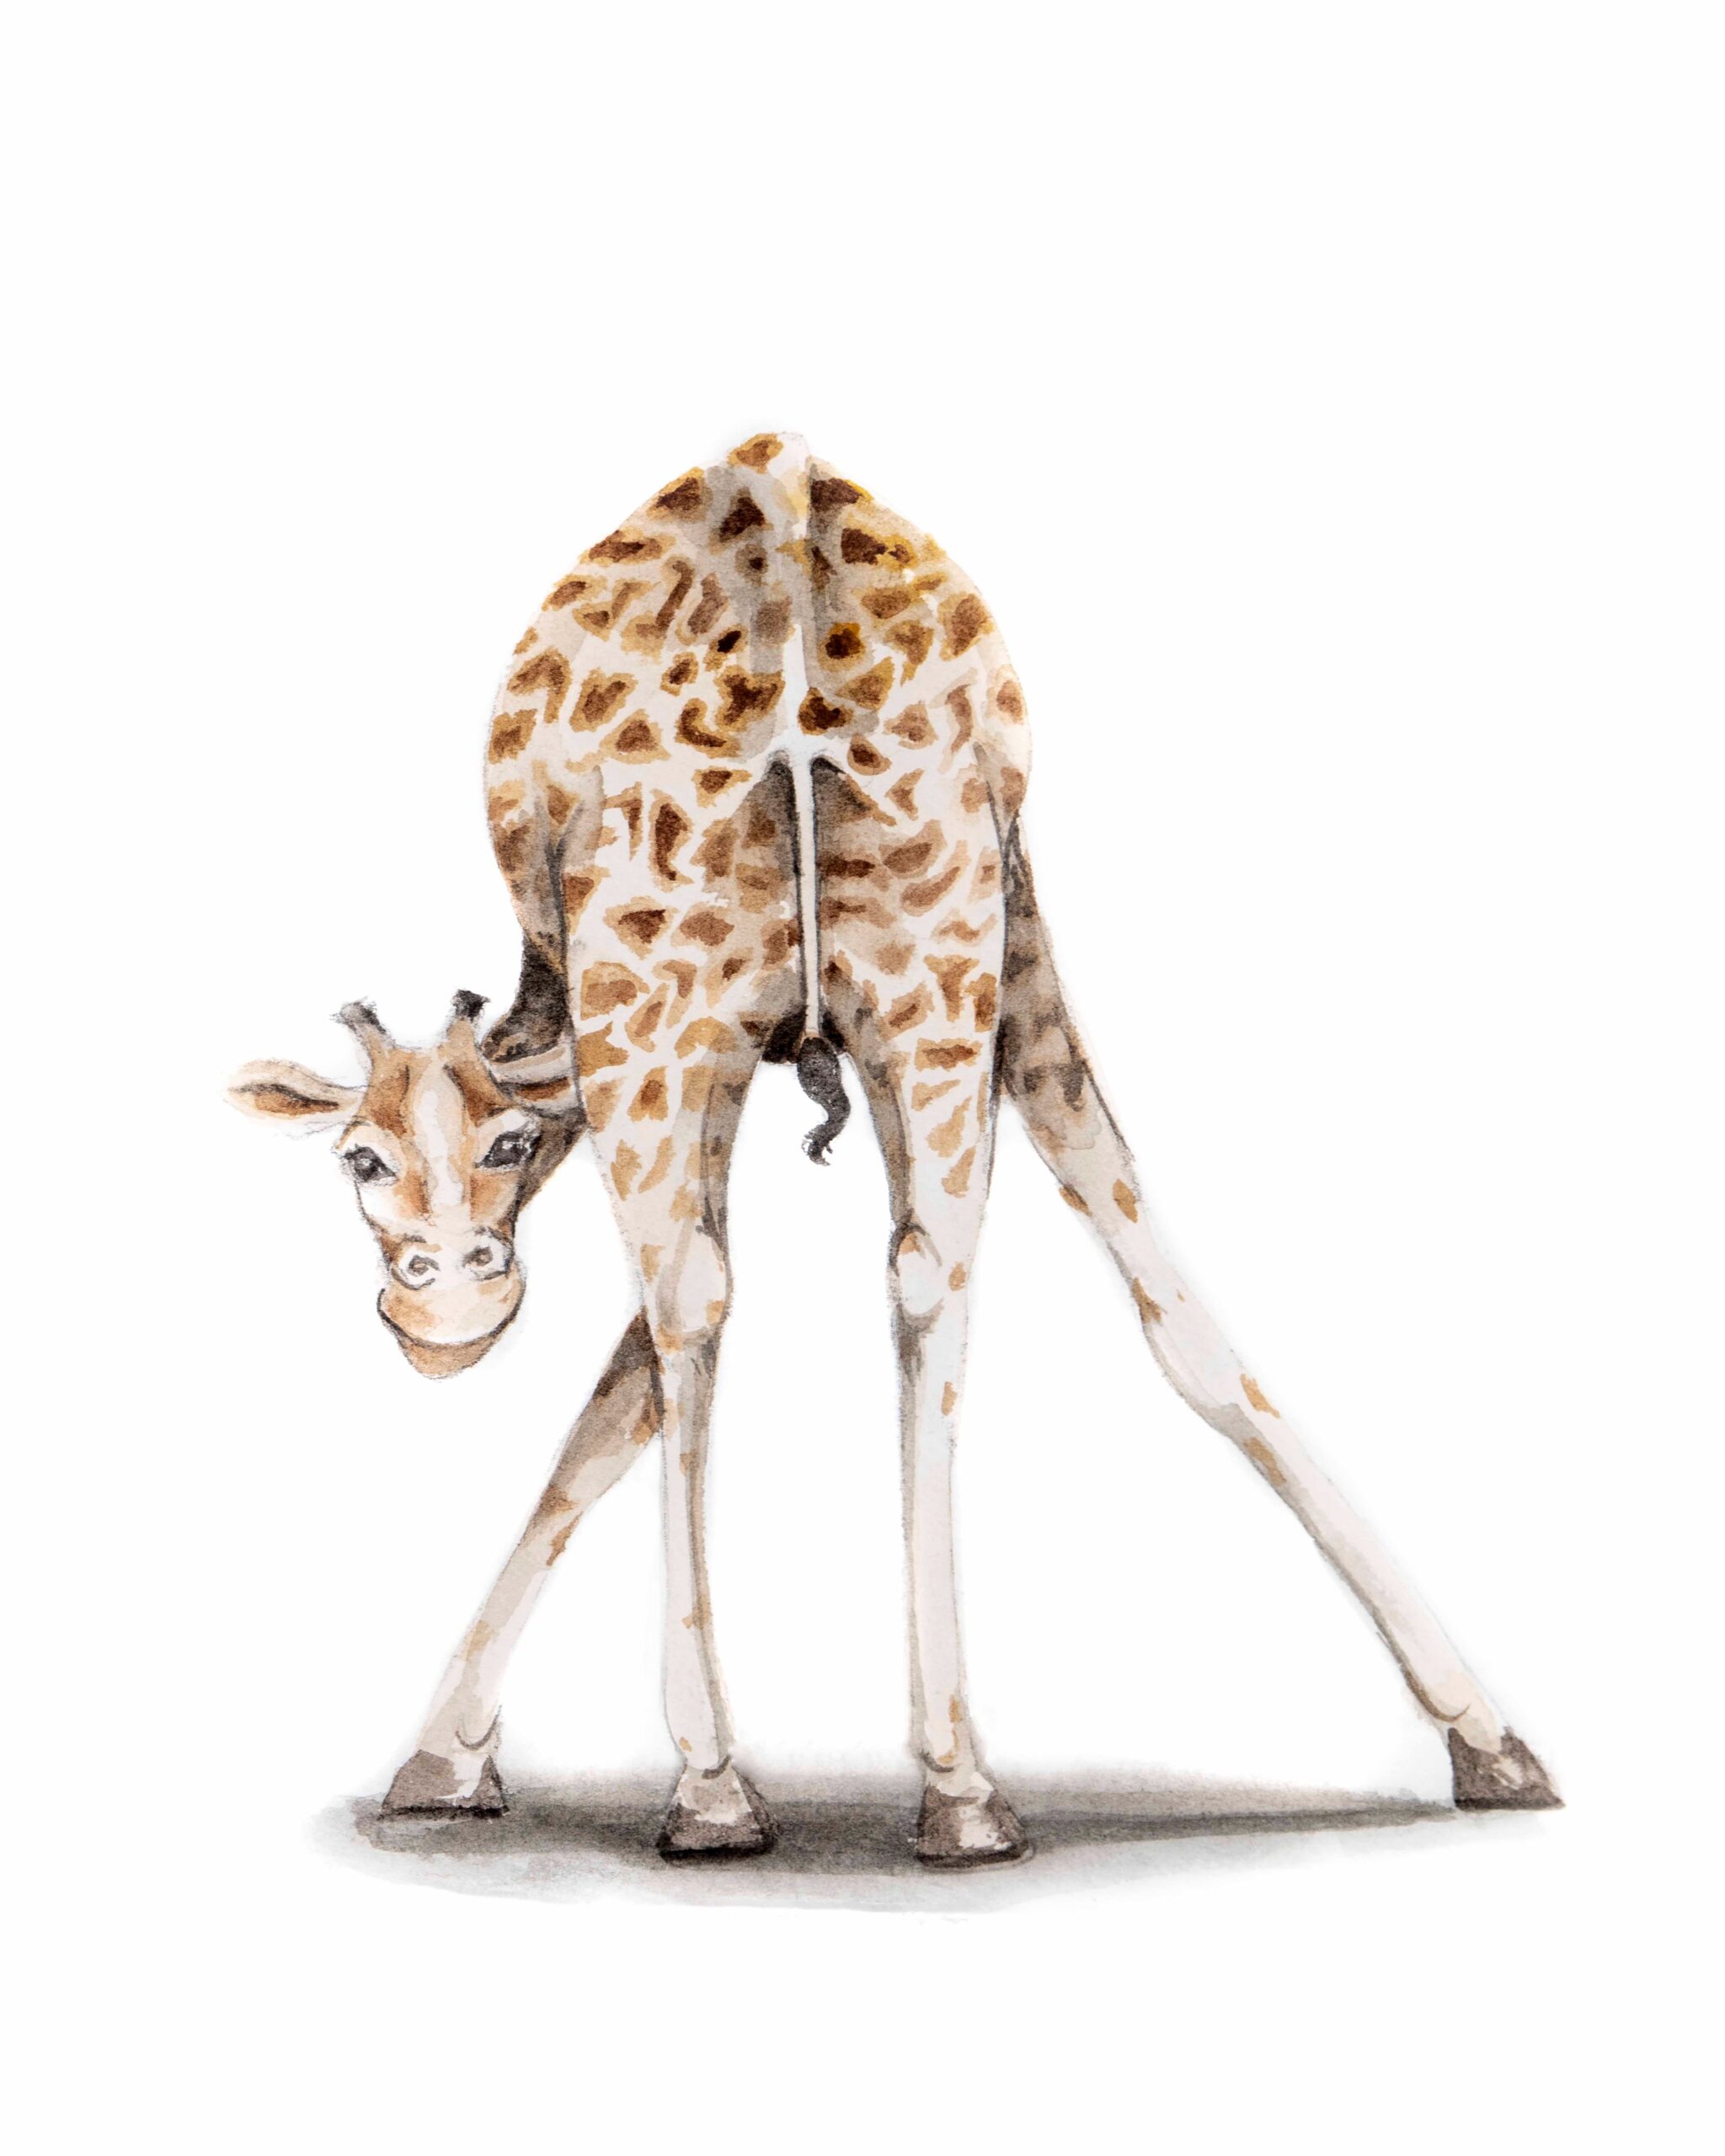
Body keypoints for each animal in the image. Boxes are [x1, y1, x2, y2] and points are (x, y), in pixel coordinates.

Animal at [231, 433, 1559, 1865]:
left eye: (505, 1146)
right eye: (361, 1159)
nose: (447, 1312)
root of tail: (784, 533)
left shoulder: (678, 1033)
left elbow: (625, 1387)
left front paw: (443, 1760)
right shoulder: (1011, 949)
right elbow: (1166, 1300)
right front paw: (1484, 1735)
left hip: (675, 995)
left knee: (704, 1297)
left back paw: (720, 1790)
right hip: (928, 956)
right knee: (915, 1273)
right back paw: (958, 1788)